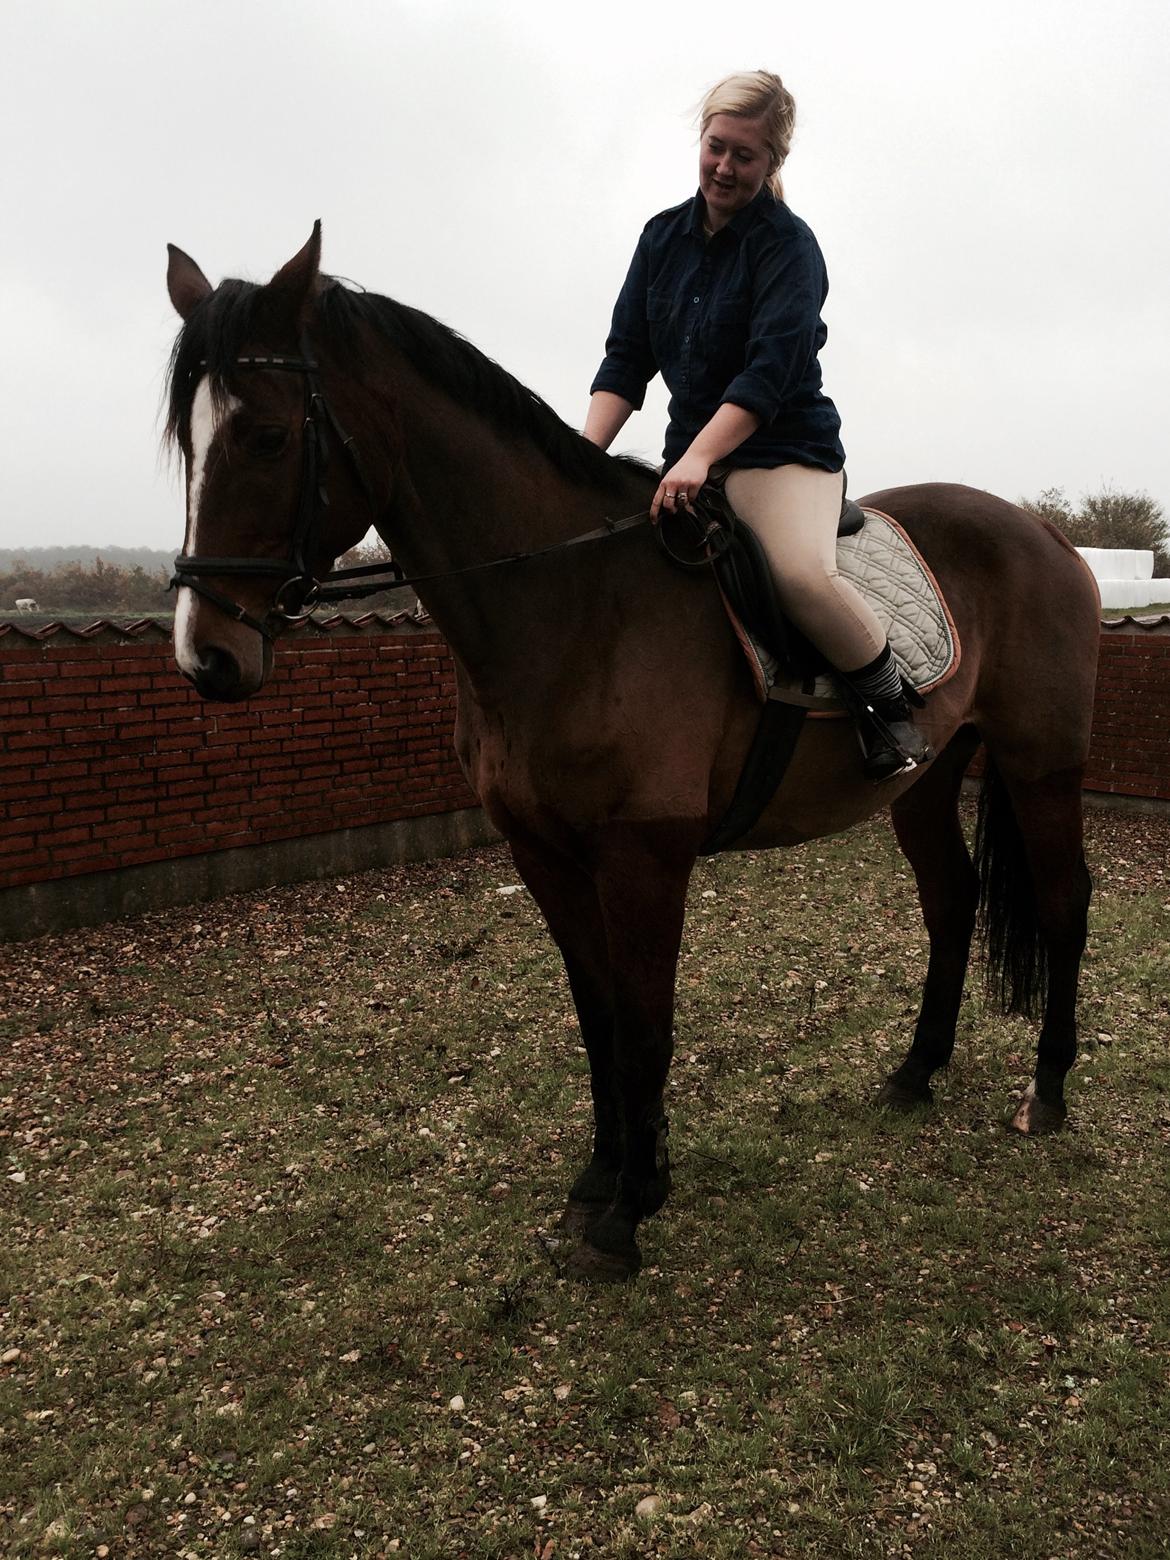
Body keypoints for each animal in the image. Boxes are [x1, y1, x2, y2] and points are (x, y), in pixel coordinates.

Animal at [164, 224, 1100, 1281]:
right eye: (188, 442)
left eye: (268, 436)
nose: (207, 656)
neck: (569, 605)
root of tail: (1046, 531)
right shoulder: (545, 854)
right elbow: (599, 1018)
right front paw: (600, 1179)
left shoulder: (645, 857)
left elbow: (646, 1025)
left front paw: (630, 1210)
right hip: (927, 780)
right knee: (952, 899)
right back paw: (914, 1073)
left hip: (1040, 764)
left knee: (1064, 904)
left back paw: (1048, 1091)